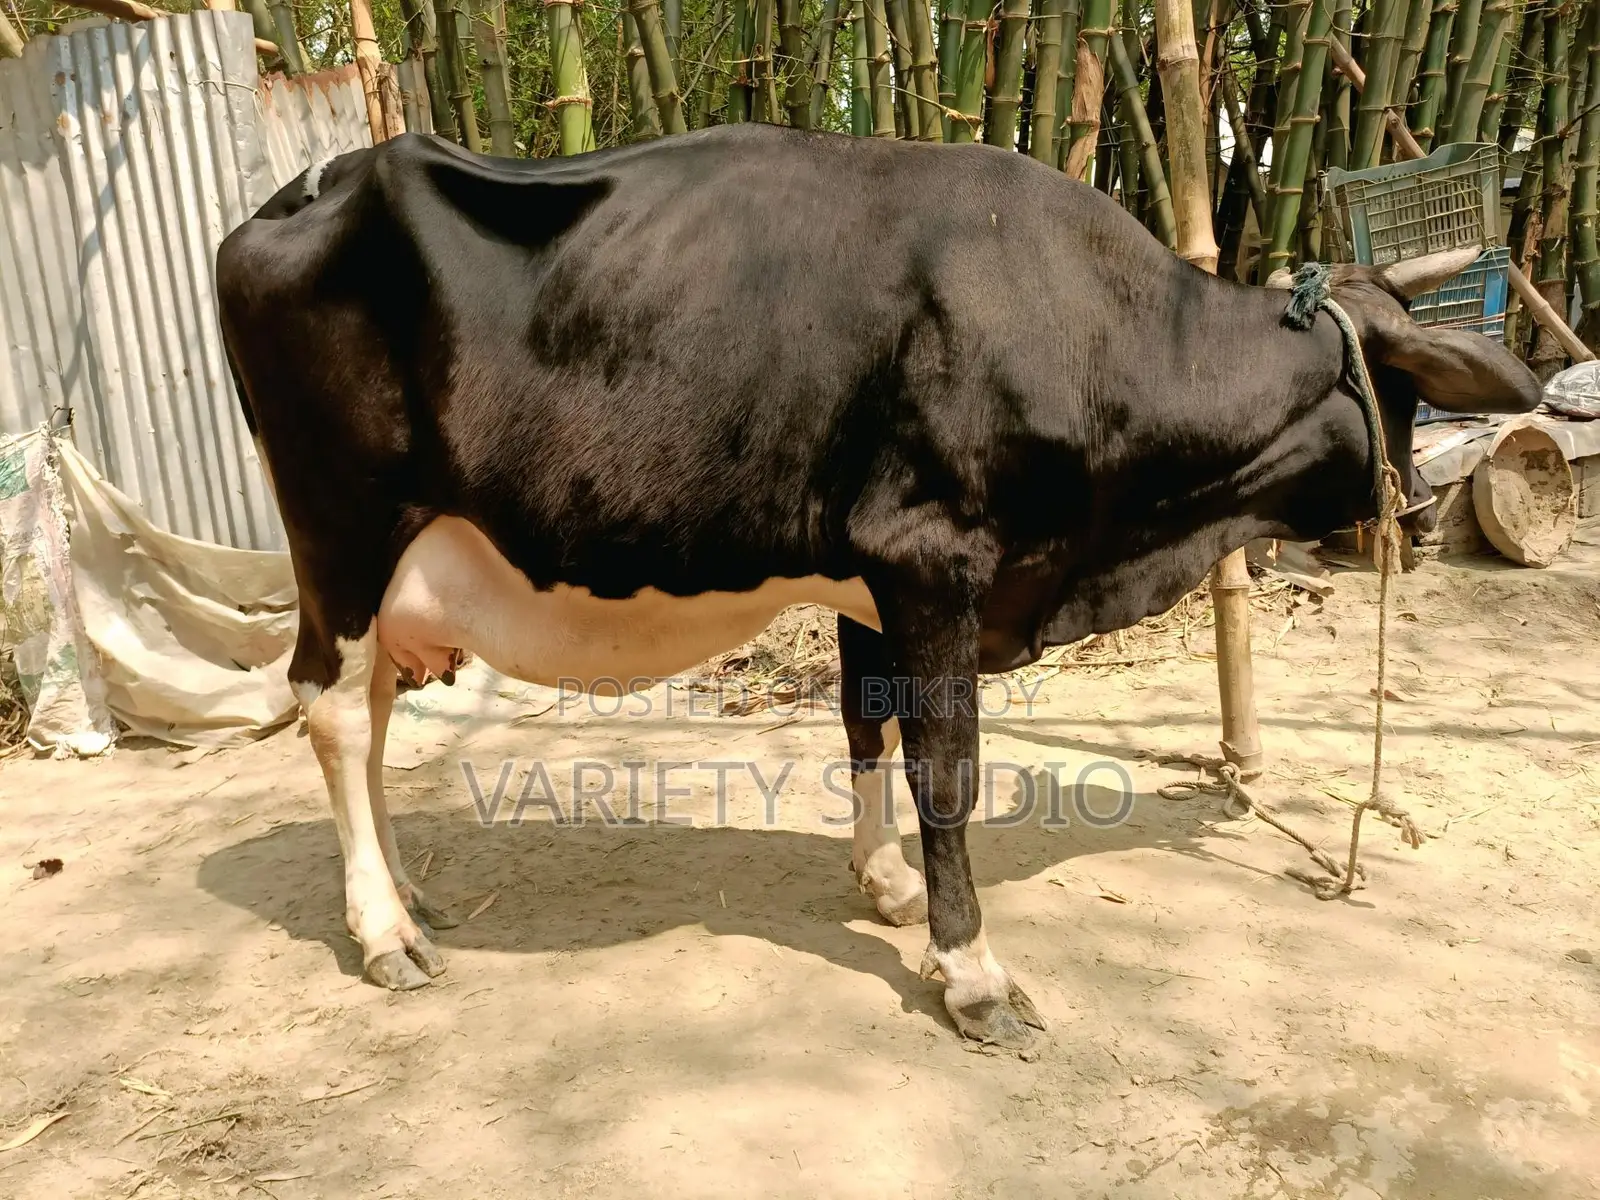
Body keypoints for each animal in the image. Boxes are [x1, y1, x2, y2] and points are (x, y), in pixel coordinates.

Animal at [217, 124, 1540, 1050]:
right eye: (1404, 395)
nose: (1408, 534)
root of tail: (308, 188)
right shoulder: (931, 555)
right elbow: (944, 767)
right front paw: (974, 973)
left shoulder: (867, 576)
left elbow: (866, 726)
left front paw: (887, 884)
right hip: (343, 532)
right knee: (332, 709)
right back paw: (384, 932)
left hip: (371, 570)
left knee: (366, 712)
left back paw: (407, 894)